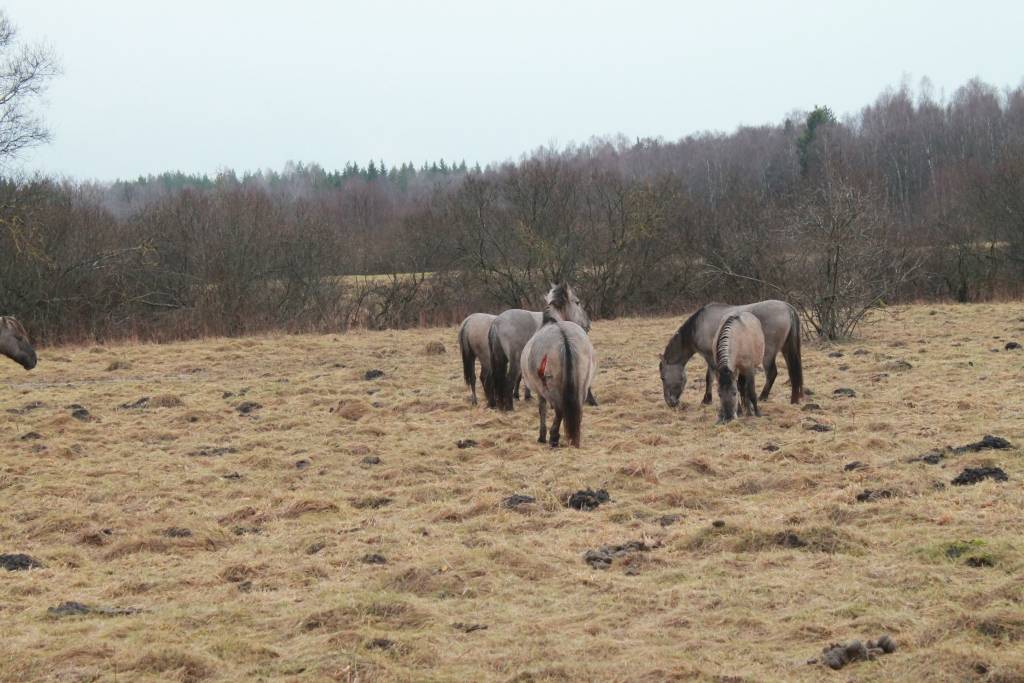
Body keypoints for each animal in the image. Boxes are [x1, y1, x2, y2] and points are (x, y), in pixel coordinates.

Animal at [487, 282, 593, 411]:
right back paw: (510, 408)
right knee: (509, 381)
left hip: (499, 359)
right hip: (514, 362)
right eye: (577, 302)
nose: (588, 324)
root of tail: (496, 322)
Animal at [524, 286, 598, 446]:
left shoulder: (540, 391)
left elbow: (542, 409)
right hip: (581, 384)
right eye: (577, 302)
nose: (589, 323)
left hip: (550, 386)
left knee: (559, 409)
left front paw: (542, 436)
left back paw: (554, 437)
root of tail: (563, 335)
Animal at [659, 296, 802, 405]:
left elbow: (710, 377)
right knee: (792, 373)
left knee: (772, 373)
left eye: (662, 377)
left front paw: (707, 399)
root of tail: (787, 307)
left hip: (768, 354)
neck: (698, 326)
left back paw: (762, 397)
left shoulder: (710, 356)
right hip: (786, 349)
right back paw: (793, 399)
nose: (670, 402)